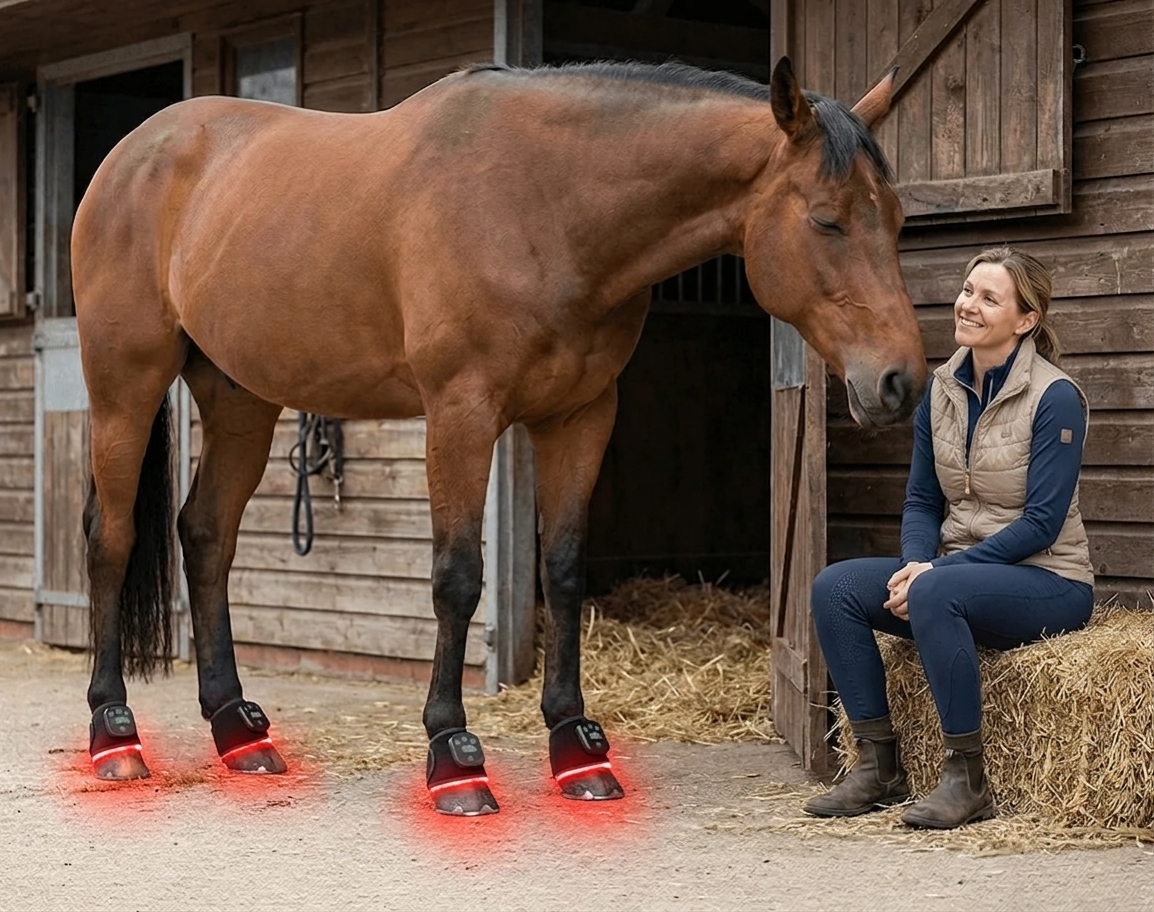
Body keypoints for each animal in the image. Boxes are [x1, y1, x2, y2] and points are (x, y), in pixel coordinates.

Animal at [73, 56, 926, 815]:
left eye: (895, 219)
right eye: (826, 220)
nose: (900, 381)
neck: (544, 203)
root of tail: (132, 154)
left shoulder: (580, 417)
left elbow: (565, 572)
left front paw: (578, 750)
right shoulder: (462, 412)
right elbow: (458, 578)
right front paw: (454, 758)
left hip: (240, 401)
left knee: (206, 534)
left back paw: (238, 732)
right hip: (126, 385)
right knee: (111, 537)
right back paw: (115, 736)